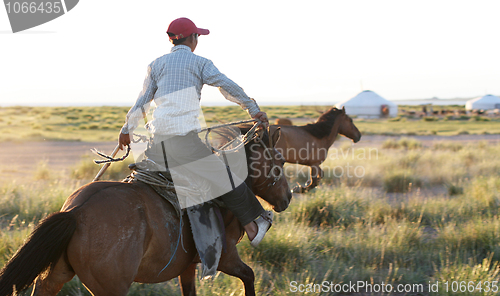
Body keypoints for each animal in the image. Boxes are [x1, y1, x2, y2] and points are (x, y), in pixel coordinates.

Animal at [0, 128, 290, 296]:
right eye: (279, 161)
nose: (287, 198)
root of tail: (75, 213)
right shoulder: (226, 258)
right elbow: (249, 276)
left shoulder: (188, 266)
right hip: (111, 289)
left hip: (58, 273)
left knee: (45, 286)